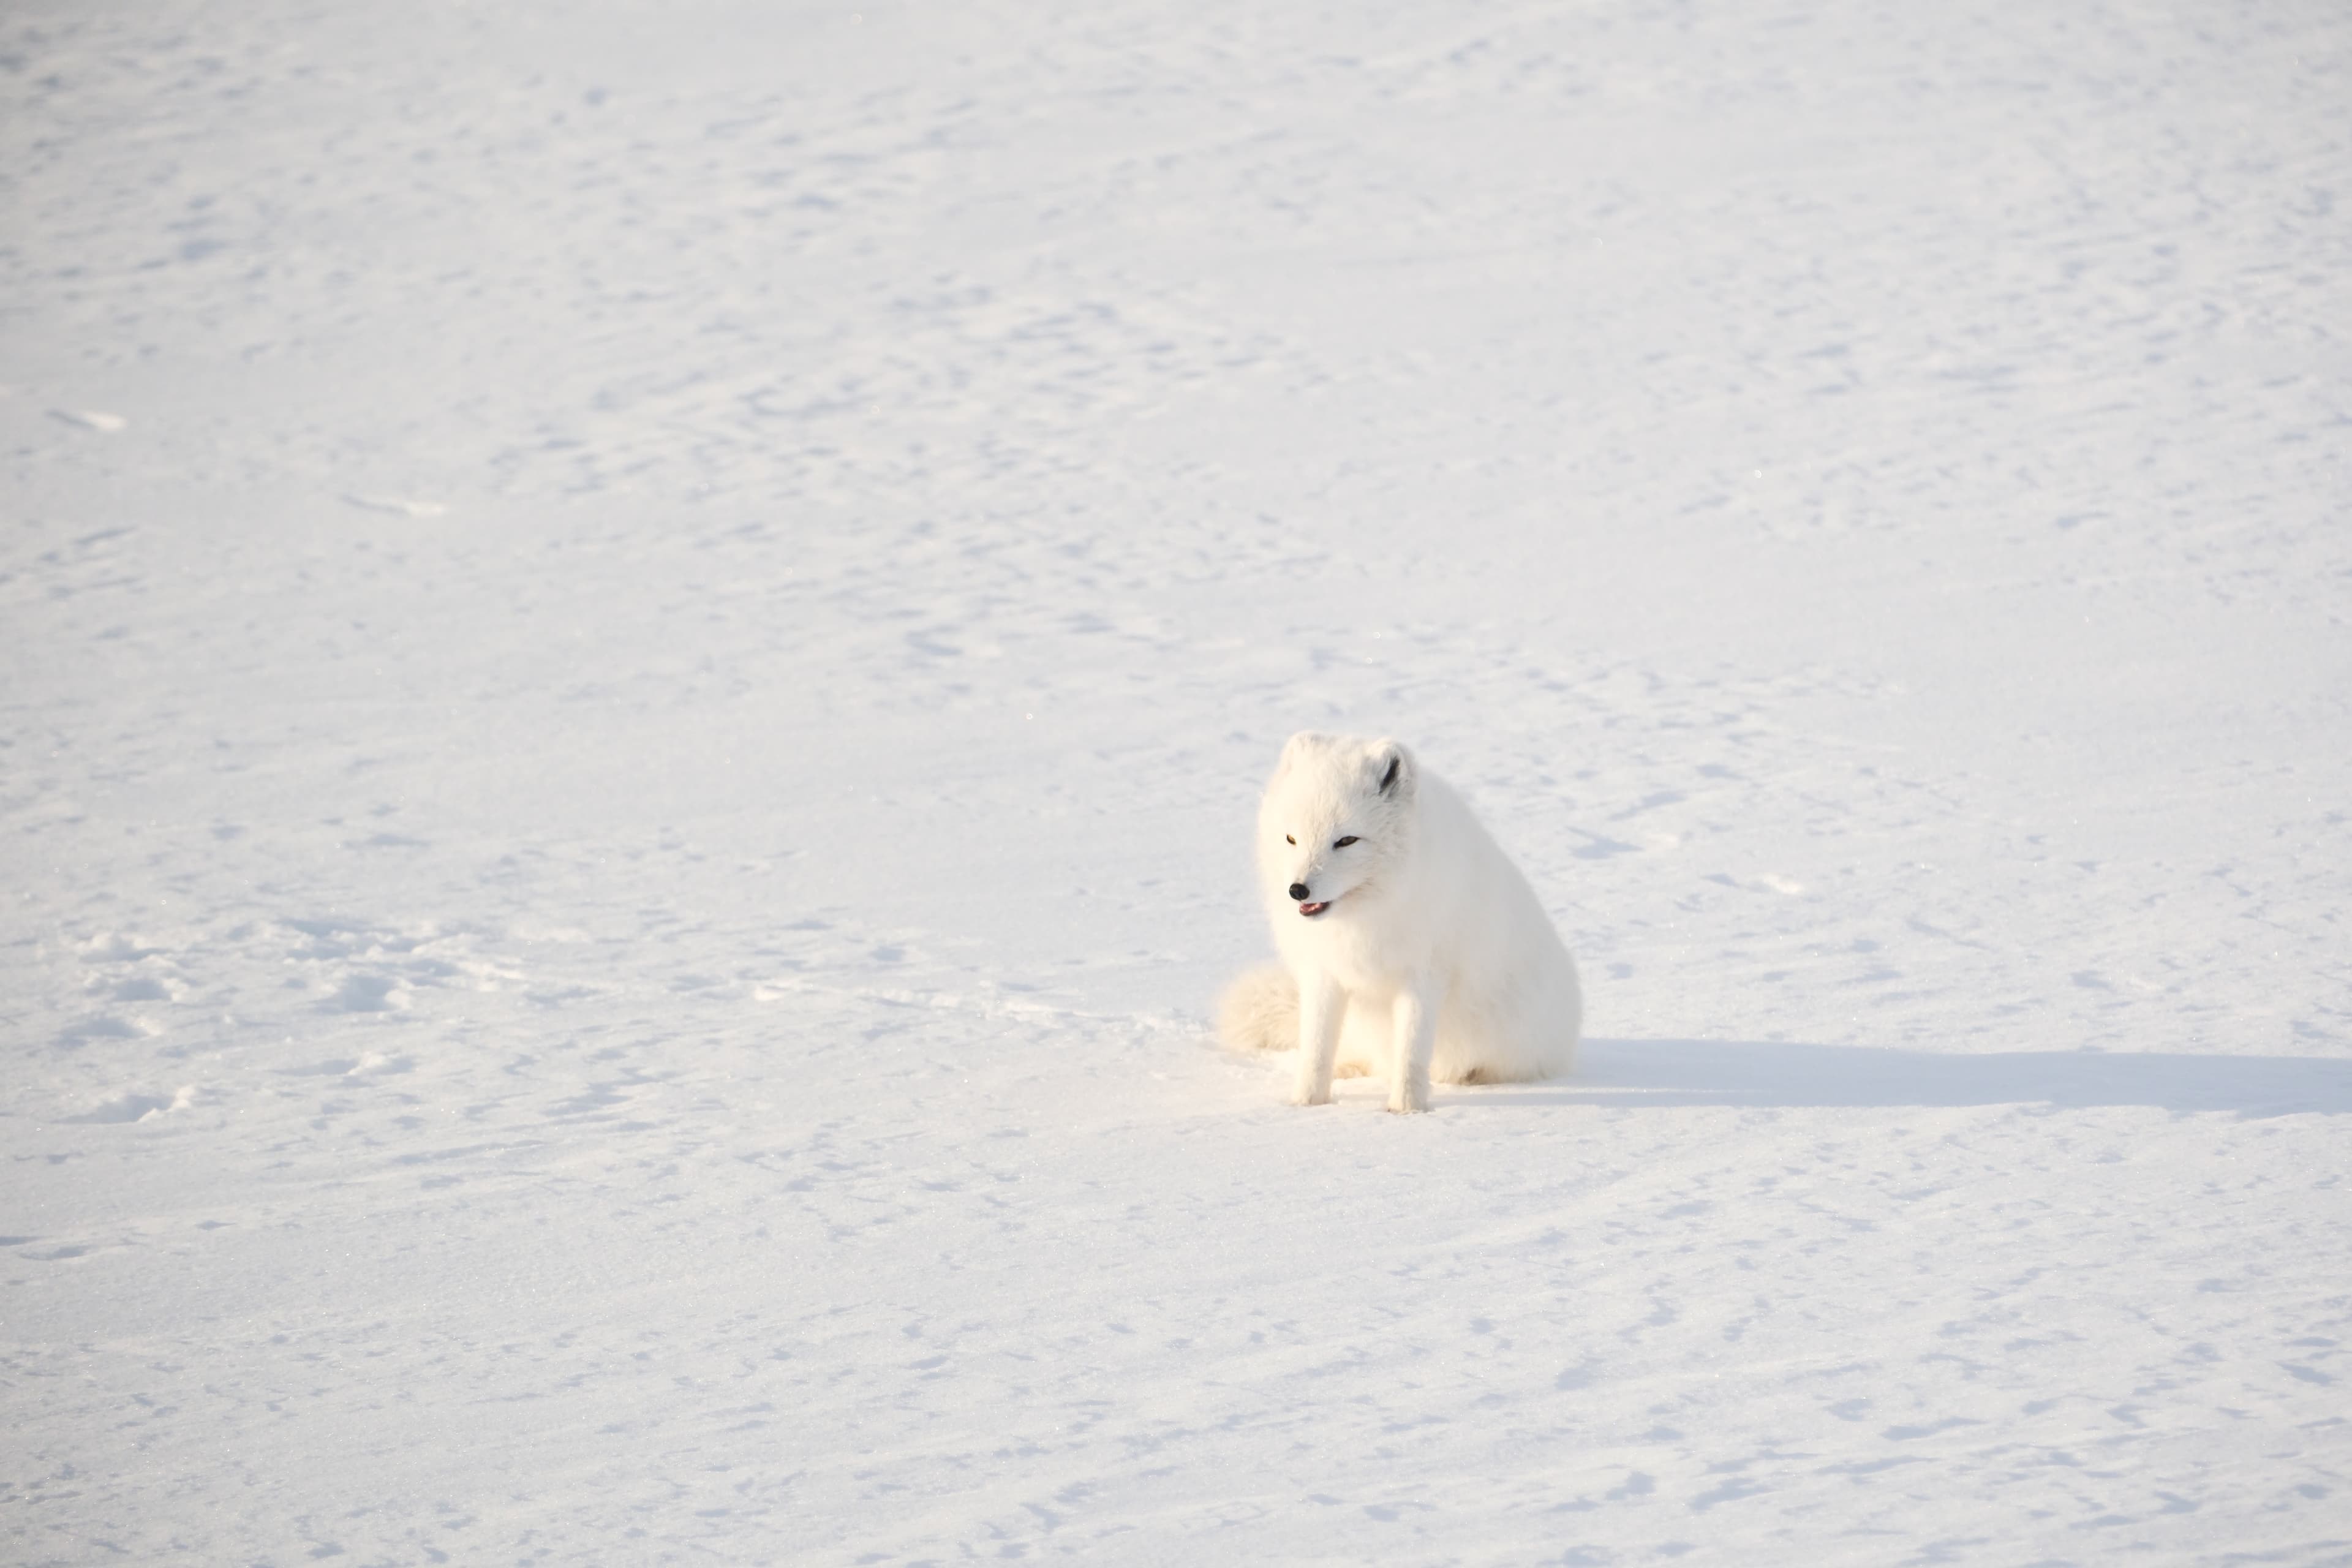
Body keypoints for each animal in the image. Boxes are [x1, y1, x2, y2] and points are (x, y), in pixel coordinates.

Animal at [1218, 732, 1582, 1113]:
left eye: (1346, 841)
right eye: (1291, 839)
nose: (1297, 890)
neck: (1365, 916)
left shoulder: (1424, 976)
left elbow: (1411, 1052)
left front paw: (1406, 1109)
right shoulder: (1324, 972)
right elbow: (1316, 1048)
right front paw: (1307, 1103)